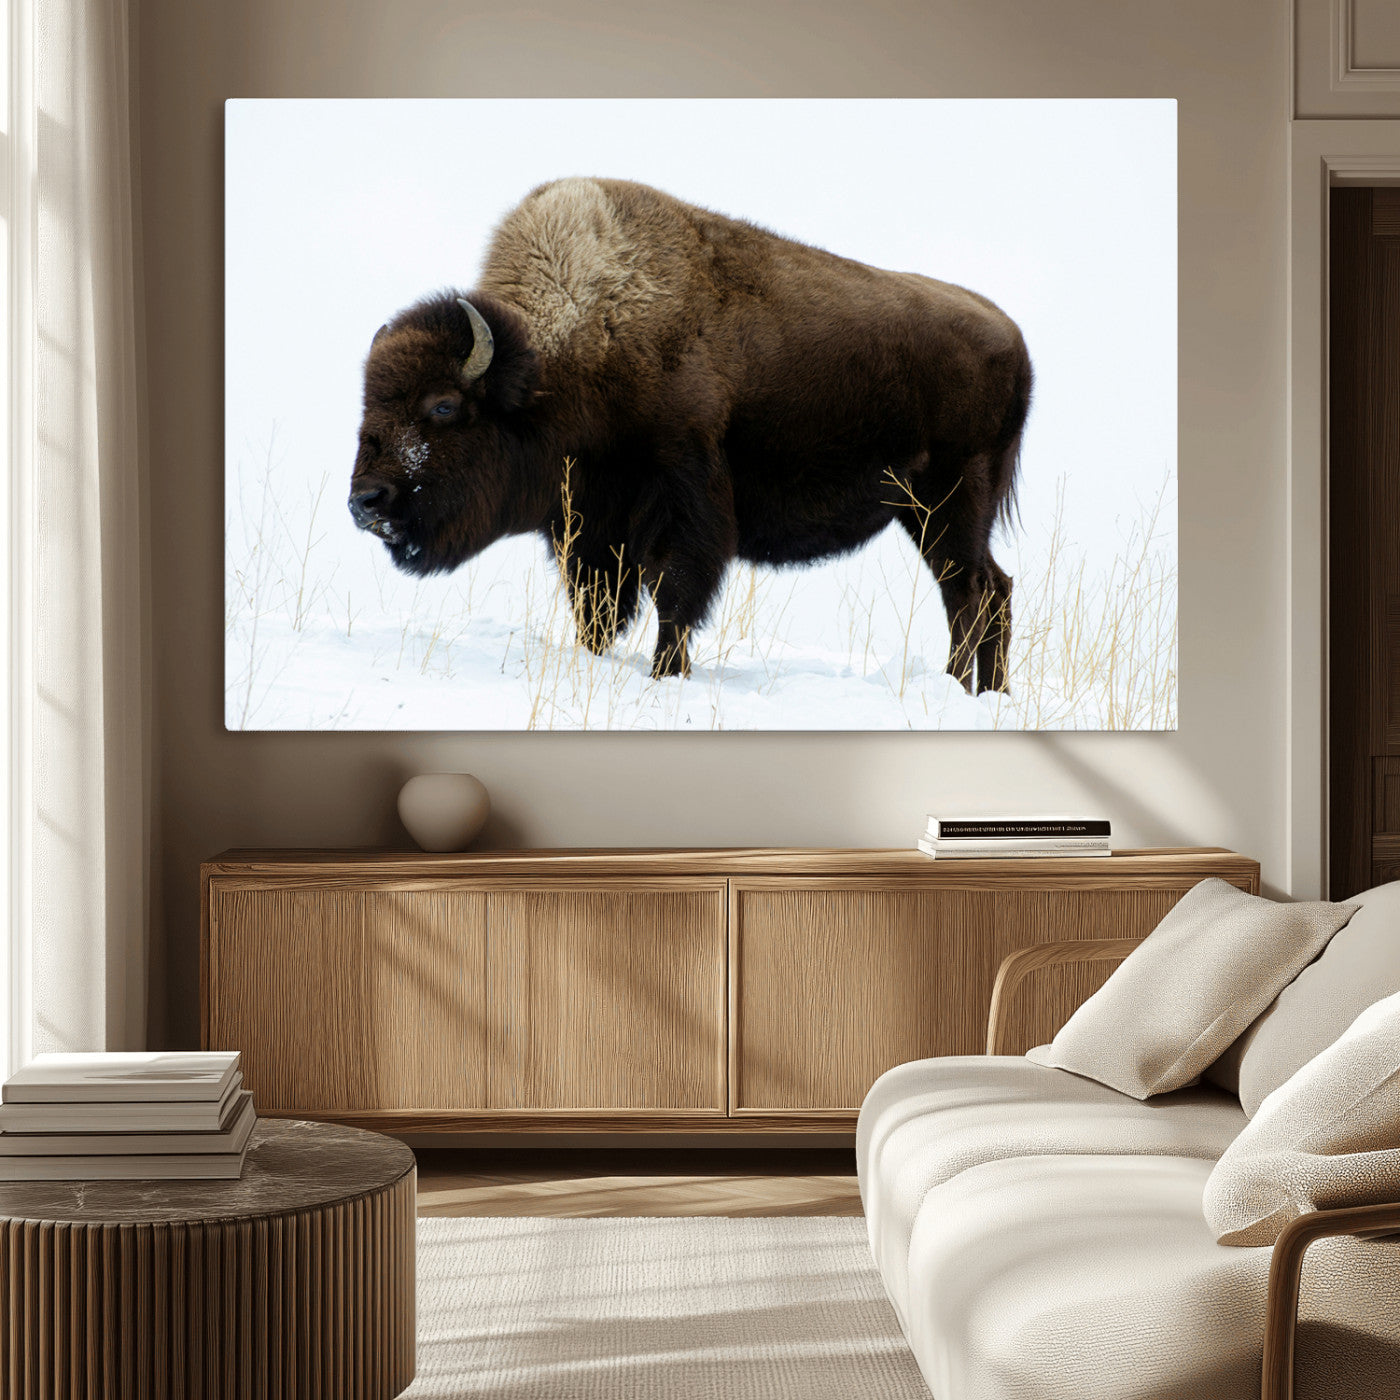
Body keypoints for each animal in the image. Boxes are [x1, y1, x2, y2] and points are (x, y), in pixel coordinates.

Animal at [349, 178, 1031, 691]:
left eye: (443, 406)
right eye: (368, 402)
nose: (365, 501)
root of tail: (1013, 336)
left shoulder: (682, 501)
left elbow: (675, 595)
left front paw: (665, 675)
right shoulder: (589, 525)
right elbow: (597, 608)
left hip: (950, 501)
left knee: (969, 592)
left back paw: (958, 688)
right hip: (924, 512)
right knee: (989, 590)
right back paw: (986, 693)